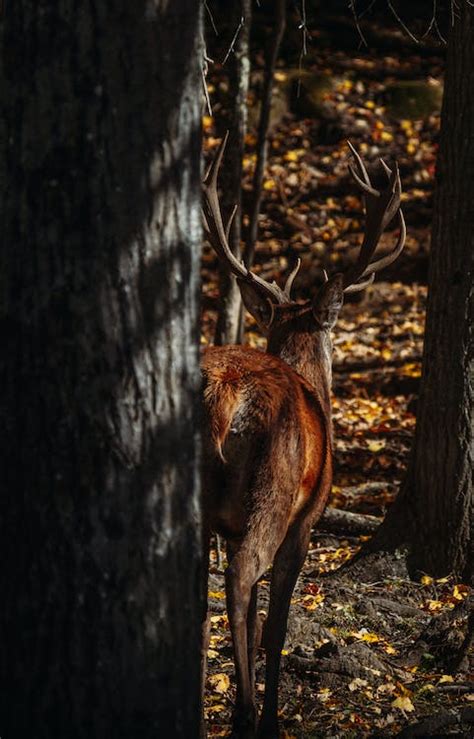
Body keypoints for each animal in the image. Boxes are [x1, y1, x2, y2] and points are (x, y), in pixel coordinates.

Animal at [201, 134, 408, 739]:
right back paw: (249, 717)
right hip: (274, 489)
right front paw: (268, 713)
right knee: (241, 577)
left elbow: (253, 621)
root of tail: (226, 392)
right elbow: (276, 623)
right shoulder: (308, 518)